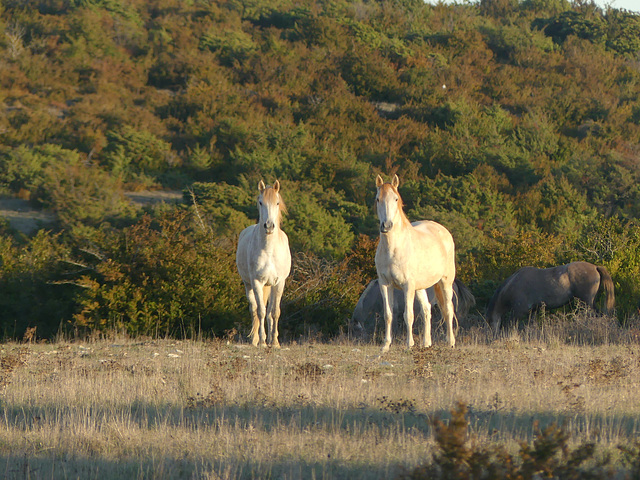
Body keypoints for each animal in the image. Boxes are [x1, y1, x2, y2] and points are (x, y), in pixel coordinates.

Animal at [235, 179, 290, 344]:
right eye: (260, 202)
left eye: (277, 203)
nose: (269, 226)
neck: (269, 250)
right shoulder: (257, 282)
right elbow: (260, 311)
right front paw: (261, 341)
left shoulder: (279, 283)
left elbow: (275, 312)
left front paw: (275, 343)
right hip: (249, 285)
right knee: (254, 309)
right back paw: (255, 340)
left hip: (270, 286)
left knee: (270, 311)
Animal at [372, 174, 458, 350]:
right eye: (378, 199)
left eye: (396, 198)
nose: (386, 225)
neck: (393, 249)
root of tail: (442, 229)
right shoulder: (385, 284)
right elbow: (388, 314)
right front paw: (385, 346)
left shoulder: (408, 286)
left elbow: (408, 315)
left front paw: (409, 345)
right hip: (421, 286)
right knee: (427, 310)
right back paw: (426, 344)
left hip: (445, 281)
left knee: (448, 308)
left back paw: (450, 342)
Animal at [488, 260, 616, 332]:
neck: (513, 284)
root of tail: (595, 267)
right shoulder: (533, 310)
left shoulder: (519, 311)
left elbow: (511, 325)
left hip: (586, 302)